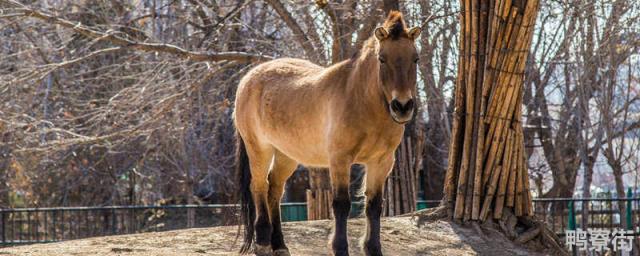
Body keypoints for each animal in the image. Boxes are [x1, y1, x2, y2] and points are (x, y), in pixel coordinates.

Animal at [234, 11, 420, 256]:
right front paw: (339, 248)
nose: (402, 106)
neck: (361, 100)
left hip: (286, 155)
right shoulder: (340, 160)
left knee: (274, 190)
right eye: (382, 59)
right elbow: (341, 204)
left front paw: (373, 248)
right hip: (259, 149)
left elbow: (373, 206)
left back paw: (280, 245)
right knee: (259, 187)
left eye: (415, 59)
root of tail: (247, 79)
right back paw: (263, 243)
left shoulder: (381, 162)